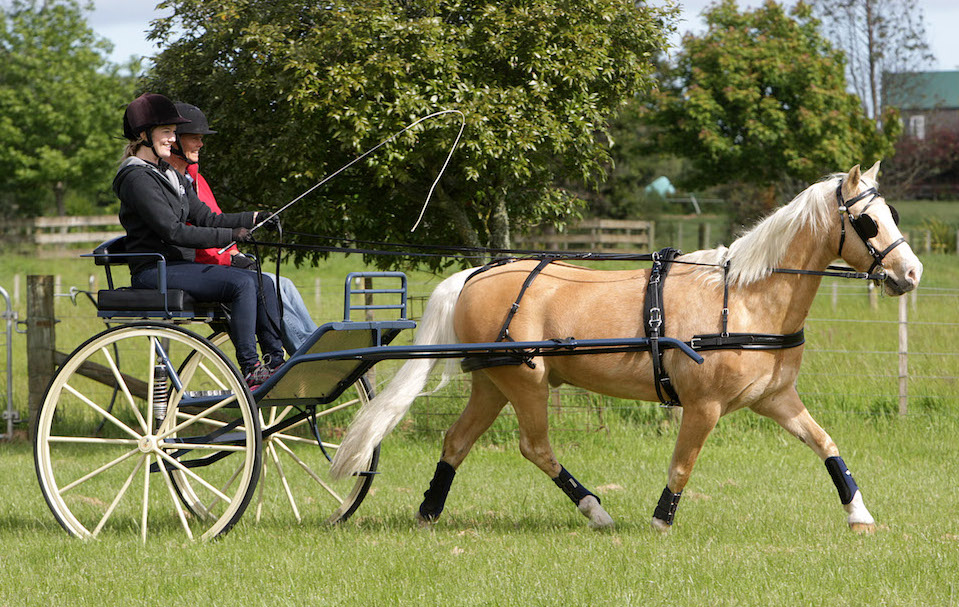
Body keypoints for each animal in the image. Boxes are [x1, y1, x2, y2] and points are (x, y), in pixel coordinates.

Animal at [330, 165, 924, 532]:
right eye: (868, 221)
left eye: (892, 213)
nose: (912, 273)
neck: (746, 298)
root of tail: (477, 274)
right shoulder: (703, 406)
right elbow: (682, 466)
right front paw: (661, 520)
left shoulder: (776, 399)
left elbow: (826, 444)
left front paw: (859, 515)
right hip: (526, 382)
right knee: (534, 447)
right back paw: (596, 511)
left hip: (493, 383)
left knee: (457, 441)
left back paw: (429, 512)